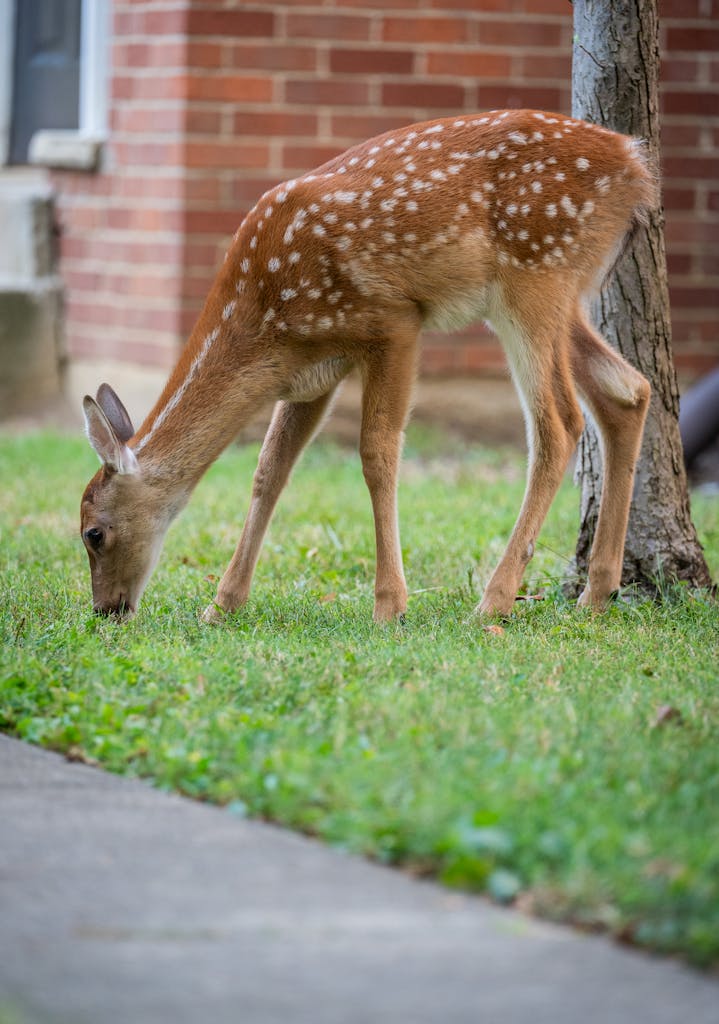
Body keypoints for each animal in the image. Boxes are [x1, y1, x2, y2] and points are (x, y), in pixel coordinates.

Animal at [81, 109, 656, 624]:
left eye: (93, 532)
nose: (106, 611)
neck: (263, 312)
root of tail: (636, 164)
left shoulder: (393, 321)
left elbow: (377, 454)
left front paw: (389, 607)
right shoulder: (310, 372)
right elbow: (270, 469)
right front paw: (221, 606)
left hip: (536, 272)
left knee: (558, 423)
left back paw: (493, 601)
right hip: (559, 293)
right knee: (628, 390)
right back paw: (596, 594)